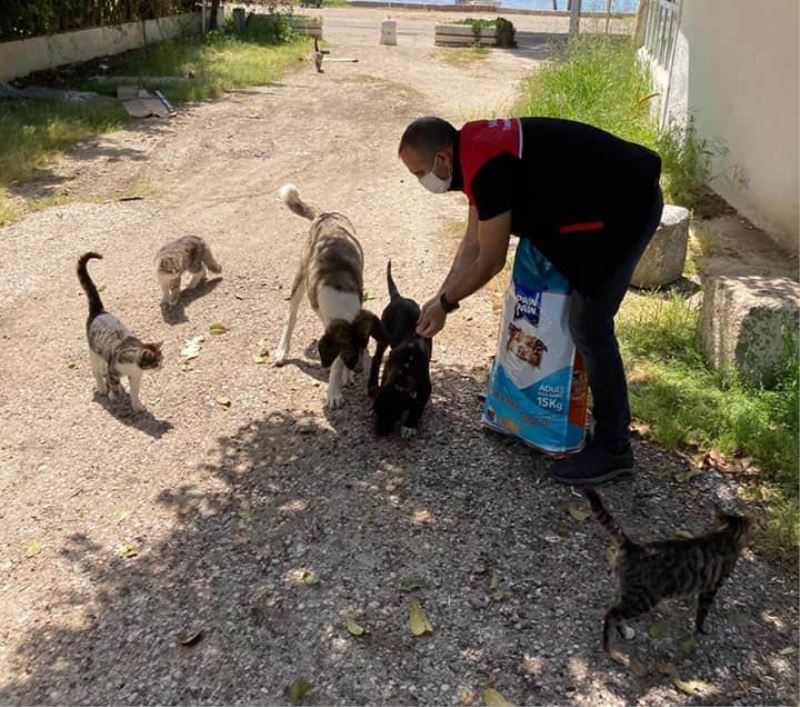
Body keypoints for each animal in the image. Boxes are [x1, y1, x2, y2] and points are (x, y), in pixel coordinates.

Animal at [77, 252, 163, 412]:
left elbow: (134, 391)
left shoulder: (136, 376)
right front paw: (114, 395)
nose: (162, 367)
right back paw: (102, 387)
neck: (132, 366)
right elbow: (114, 384)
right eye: (156, 362)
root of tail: (99, 311)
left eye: (162, 360)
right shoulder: (114, 369)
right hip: (93, 352)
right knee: (96, 371)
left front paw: (137, 405)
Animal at [276, 184, 388, 410]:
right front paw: (335, 392)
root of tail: (324, 214)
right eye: (348, 350)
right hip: (300, 278)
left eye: (364, 345)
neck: (340, 294)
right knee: (291, 317)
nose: (359, 370)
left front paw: (345, 377)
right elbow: (336, 361)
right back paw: (282, 349)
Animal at [368, 262, 432, 436]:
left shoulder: (426, 386)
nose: (379, 433)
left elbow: (418, 406)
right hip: (383, 334)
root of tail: (399, 297)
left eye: (393, 415)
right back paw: (372, 385)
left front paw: (410, 425)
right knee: (376, 359)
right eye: (378, 412)